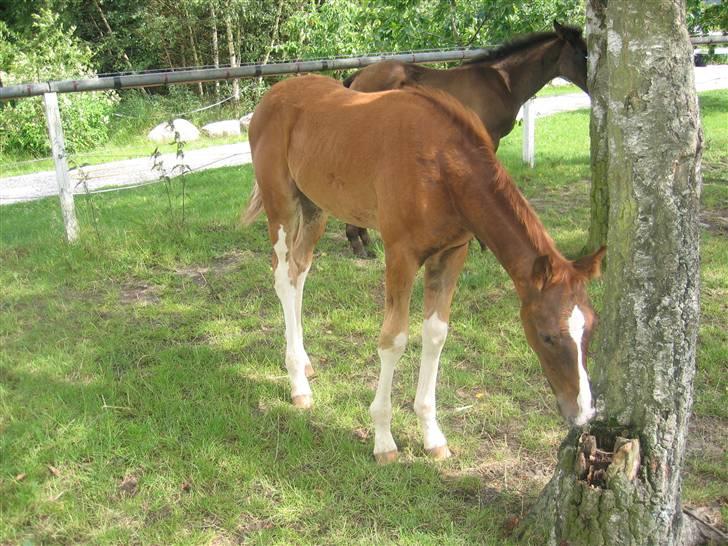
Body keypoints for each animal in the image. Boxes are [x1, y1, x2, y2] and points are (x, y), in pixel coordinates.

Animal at [242, 74, 604, 462]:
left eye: (591, 329)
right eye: (547, 335)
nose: (583, 414)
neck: (441, 167)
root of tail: (270, 96)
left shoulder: (452, 253)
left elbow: (435, 334)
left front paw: (432, 436)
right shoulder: (400, 254)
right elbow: (394, 339)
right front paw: (384, 440)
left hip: (315, 208)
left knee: (300, 271)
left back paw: (305, 363)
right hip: (281, 205)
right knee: (283, 277)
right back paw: (298, 384)